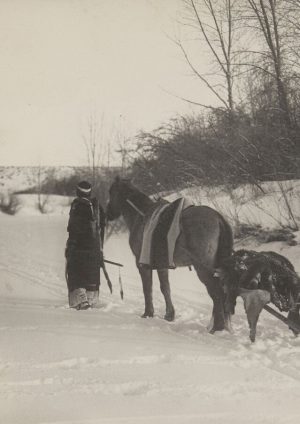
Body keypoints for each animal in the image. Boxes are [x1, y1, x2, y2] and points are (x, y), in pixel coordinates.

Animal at [106, 177, 234, 332]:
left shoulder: (141, 264)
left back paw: (217, 327)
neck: (142, 215)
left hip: (203, 269)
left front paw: (148, 313)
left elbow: (147, 288)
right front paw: (169, 315)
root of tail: (217, 217)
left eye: (111, 192)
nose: (108, 212)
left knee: (216, 293)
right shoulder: (162, 265)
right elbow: (165, 288)